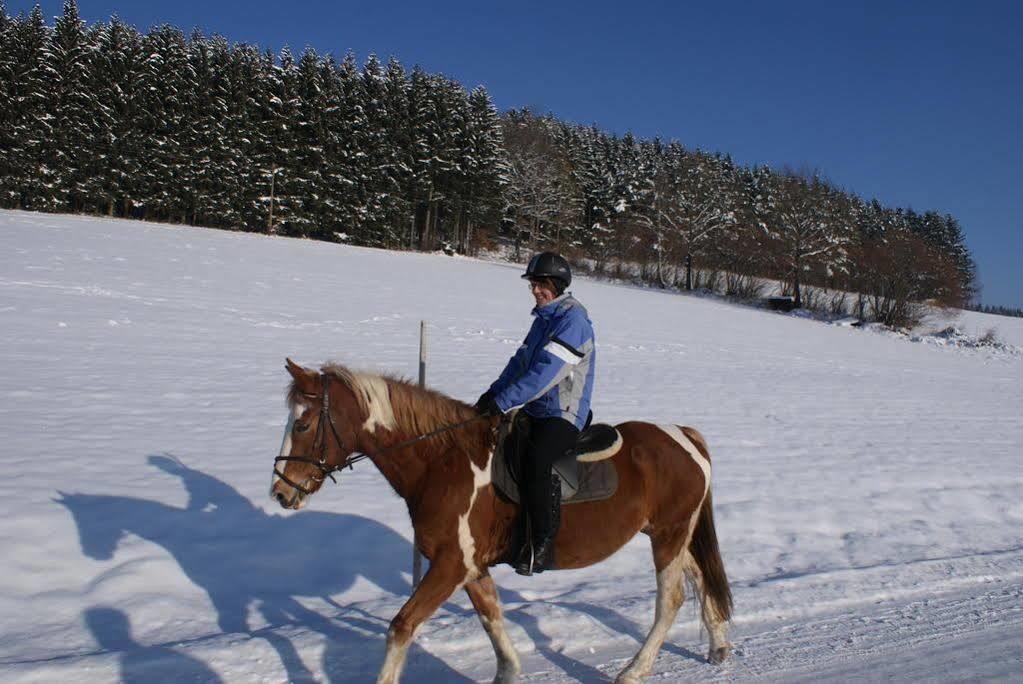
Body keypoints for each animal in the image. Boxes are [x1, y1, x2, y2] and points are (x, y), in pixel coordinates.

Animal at [272, 359, 732, 678]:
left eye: (304, 424)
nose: (280, 491)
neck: (442, 462)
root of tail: (684, 435)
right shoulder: (472, 568)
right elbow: (492, 620)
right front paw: (509, 673)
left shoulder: (451, 565)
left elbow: (401, 627)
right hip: (671, 533)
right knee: (699, 576)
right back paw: (719, 645)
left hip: (669, 535)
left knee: (670, 600)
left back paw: (634, 671)